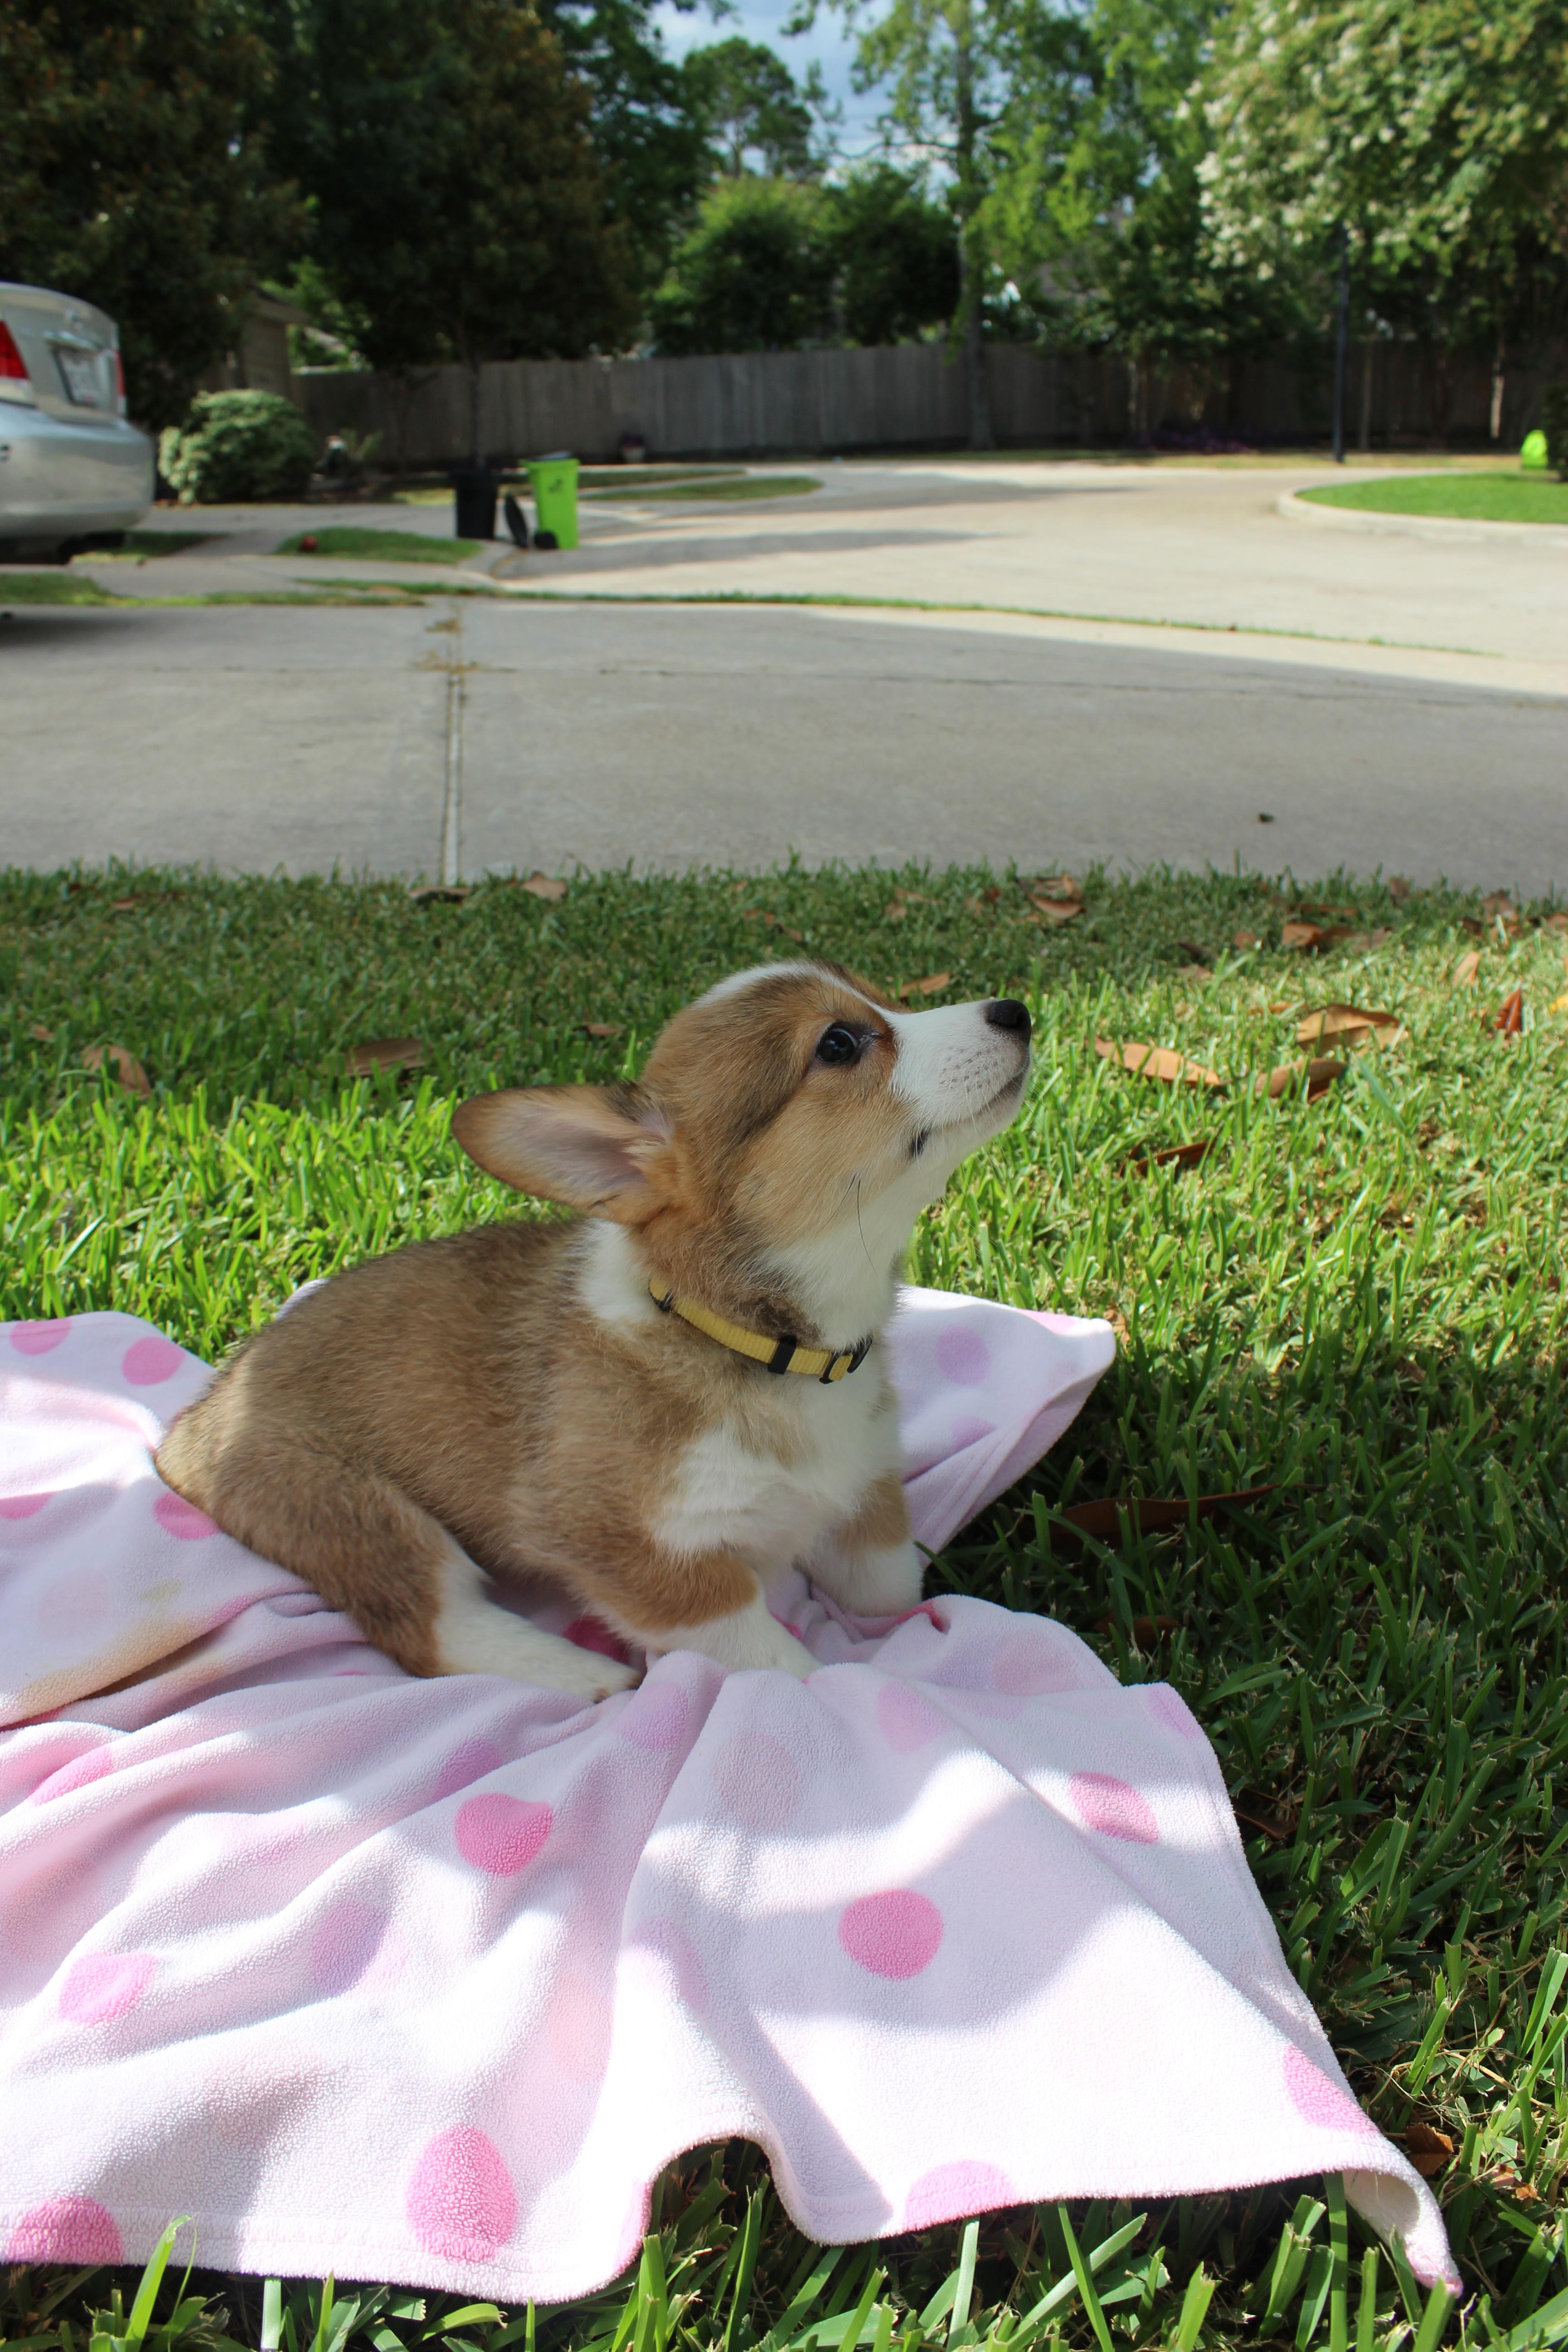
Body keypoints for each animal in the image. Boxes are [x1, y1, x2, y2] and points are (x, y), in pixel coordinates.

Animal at [155, 961, 1032, 1698]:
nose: (1015, 1010)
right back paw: (582, 1673)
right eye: (840, 1044)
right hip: (353, 1509)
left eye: (885, 997)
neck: (765, 1345)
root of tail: (193, 1422)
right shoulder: (638, 1551)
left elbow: (891, 1587)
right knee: (430, 1622)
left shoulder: (865, 1497)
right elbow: (774, 1658)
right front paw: (835, 1689)